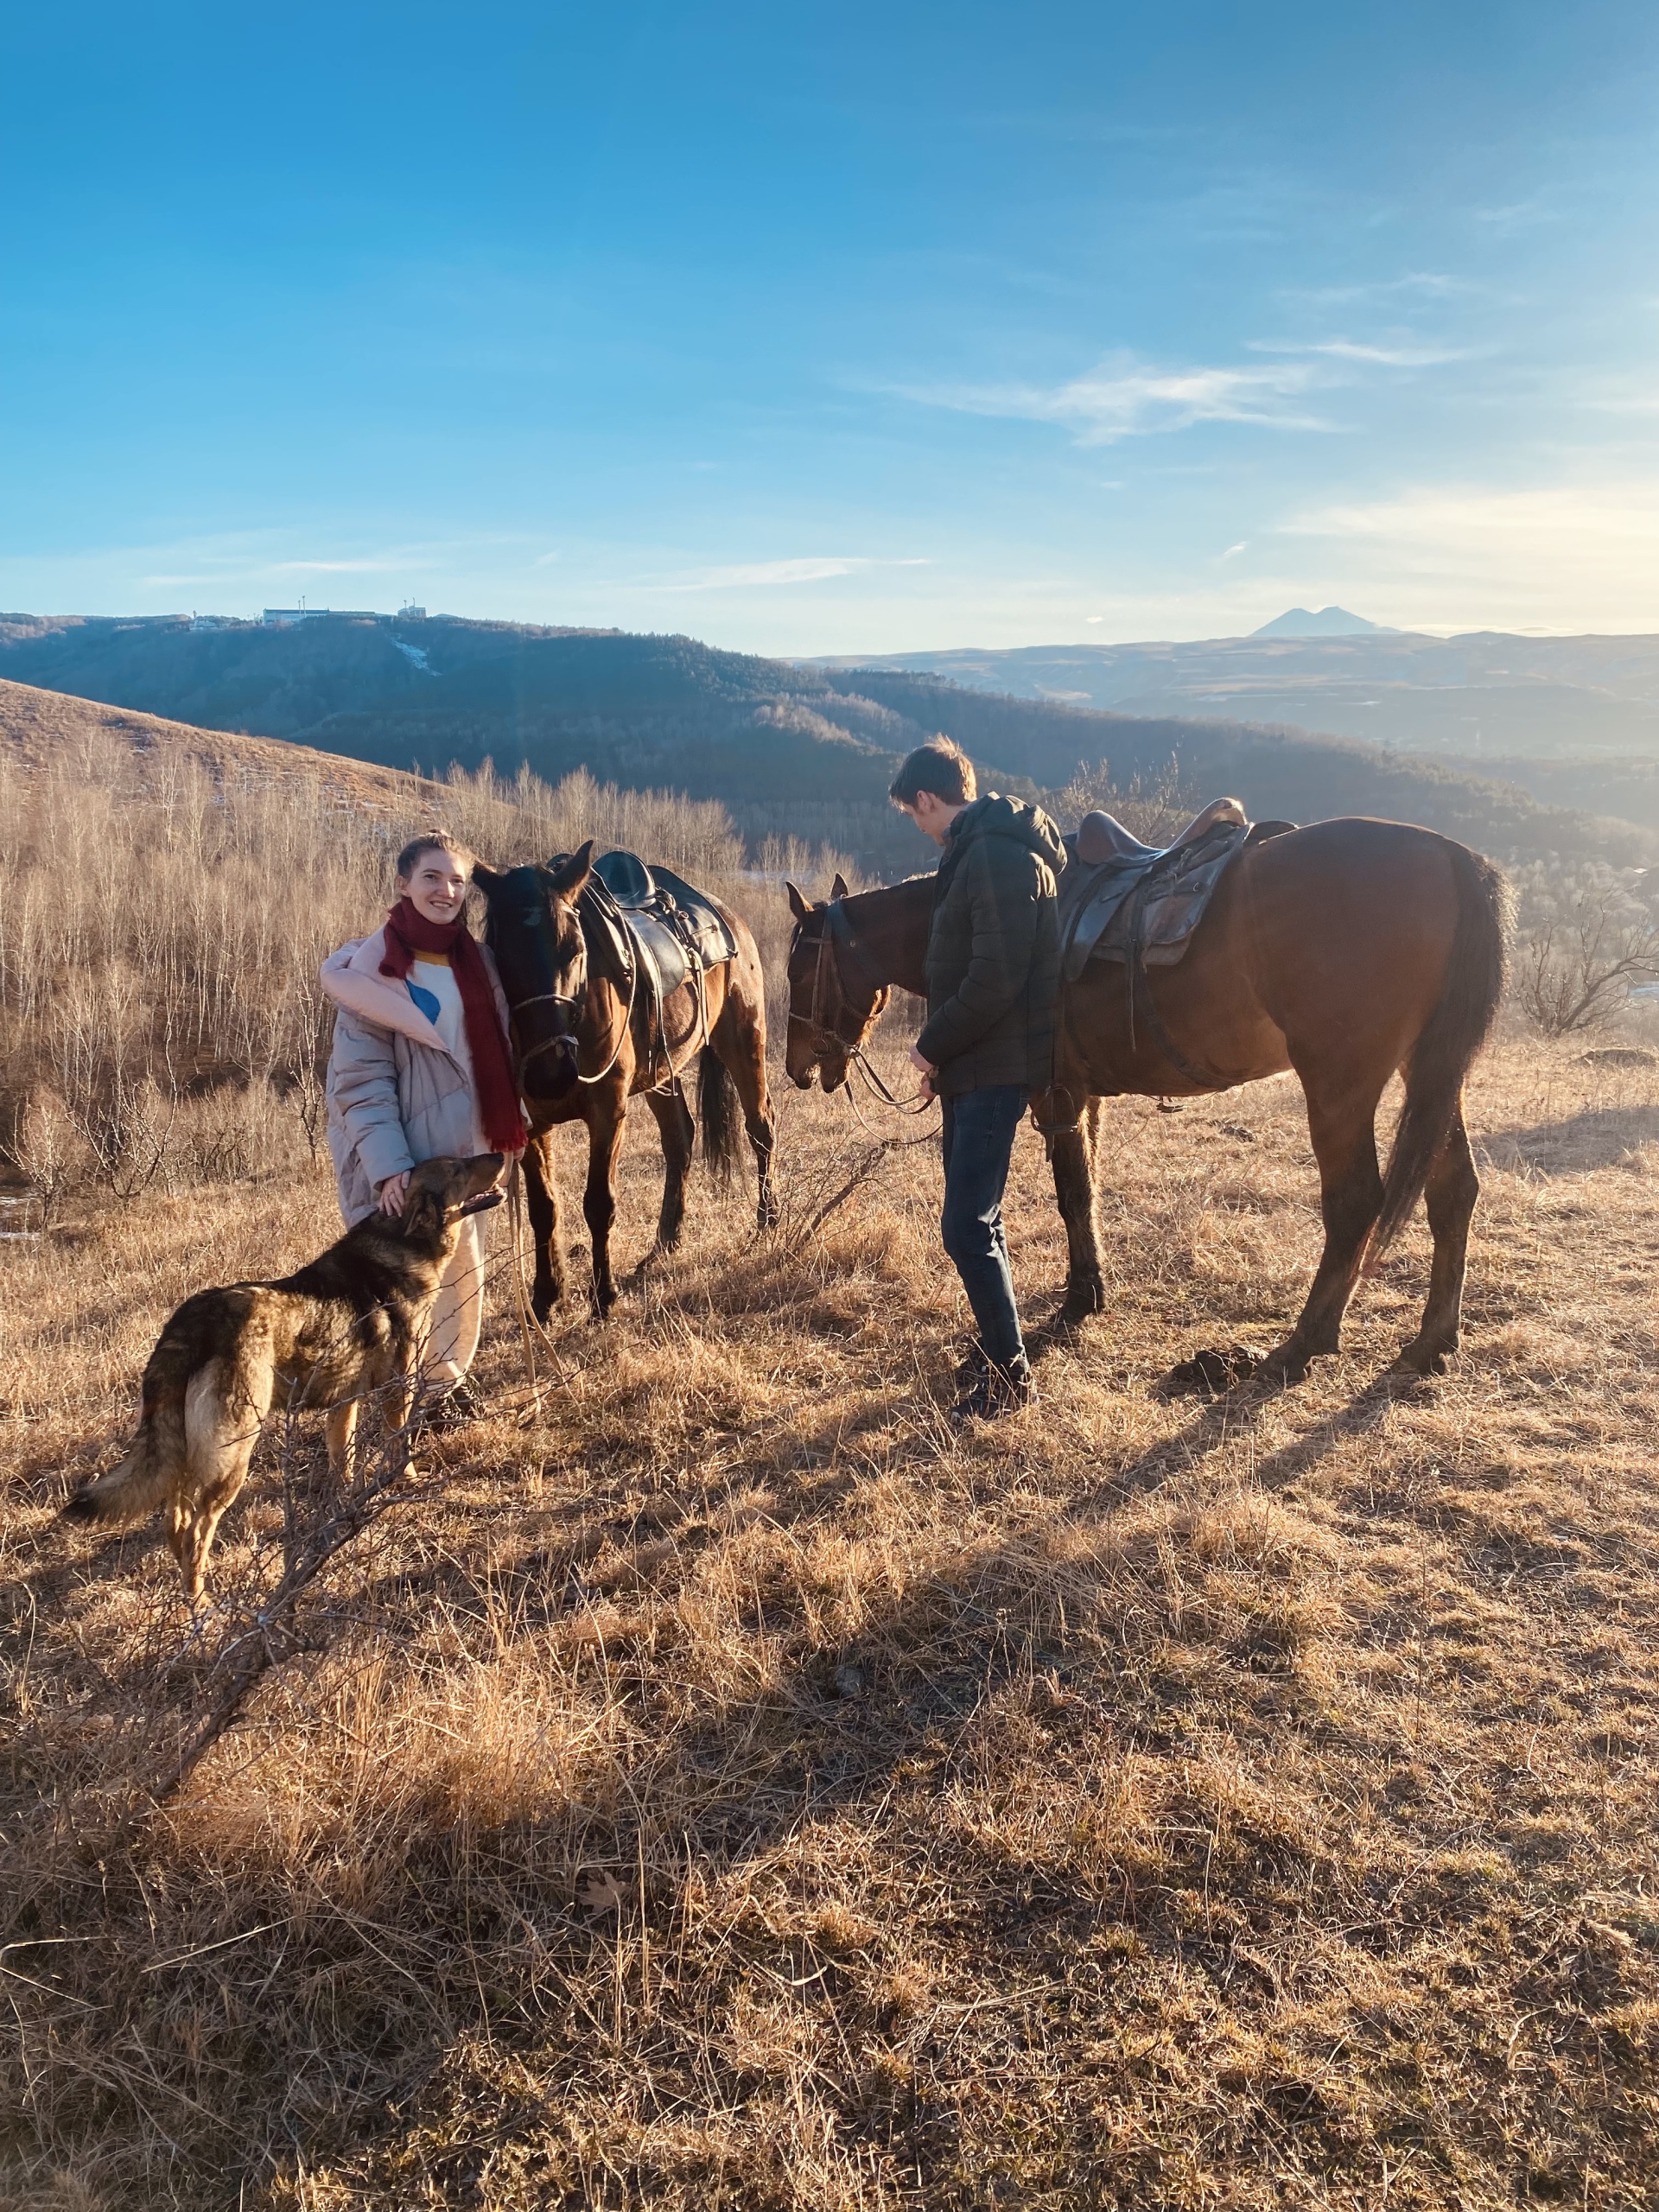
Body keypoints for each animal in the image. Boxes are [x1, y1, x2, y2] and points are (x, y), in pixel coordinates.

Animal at [63, 1159, 506, 1592]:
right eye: (456, 1169)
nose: (501, 1156)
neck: (401, 1245)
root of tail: (192, 1323)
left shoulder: (343, 1405)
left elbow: (342, 1464)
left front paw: (344, 1512)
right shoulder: (397, 1390)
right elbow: (398, 1449)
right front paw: (407, 1484)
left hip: (183, 1448)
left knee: (175, 1521)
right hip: (233, 1453)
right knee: (197, 1528)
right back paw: (203, 1601)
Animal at [477, 844, 783, 1309]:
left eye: (575, 949)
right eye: (499, 953)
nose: (551, 1074)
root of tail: (726, 914)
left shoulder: (608, 1112)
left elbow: (599, 1203)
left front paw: (604, 1294)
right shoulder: (531, 1122)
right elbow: (543, 1209)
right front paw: (547, 1297)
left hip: (744, 1039)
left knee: (760, 1126)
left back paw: (767, 1220)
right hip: (663, 1070)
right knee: (680, 1137)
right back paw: (665, 1243)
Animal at [791, 823, 1522, 1380]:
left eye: (800, 968)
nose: (799, 1067)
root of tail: (1448, 855)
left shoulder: (1054, 1091)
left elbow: (1070, 1193)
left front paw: (1080, 1300)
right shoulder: (1083, 1095)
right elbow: (1085, 1190)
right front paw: (1089, 1288)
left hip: (1341, 1081)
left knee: (1355, 1204)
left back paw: (1304, 1342)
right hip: (1429, 1073)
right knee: (1453, 1191)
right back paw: (1433, 1341)